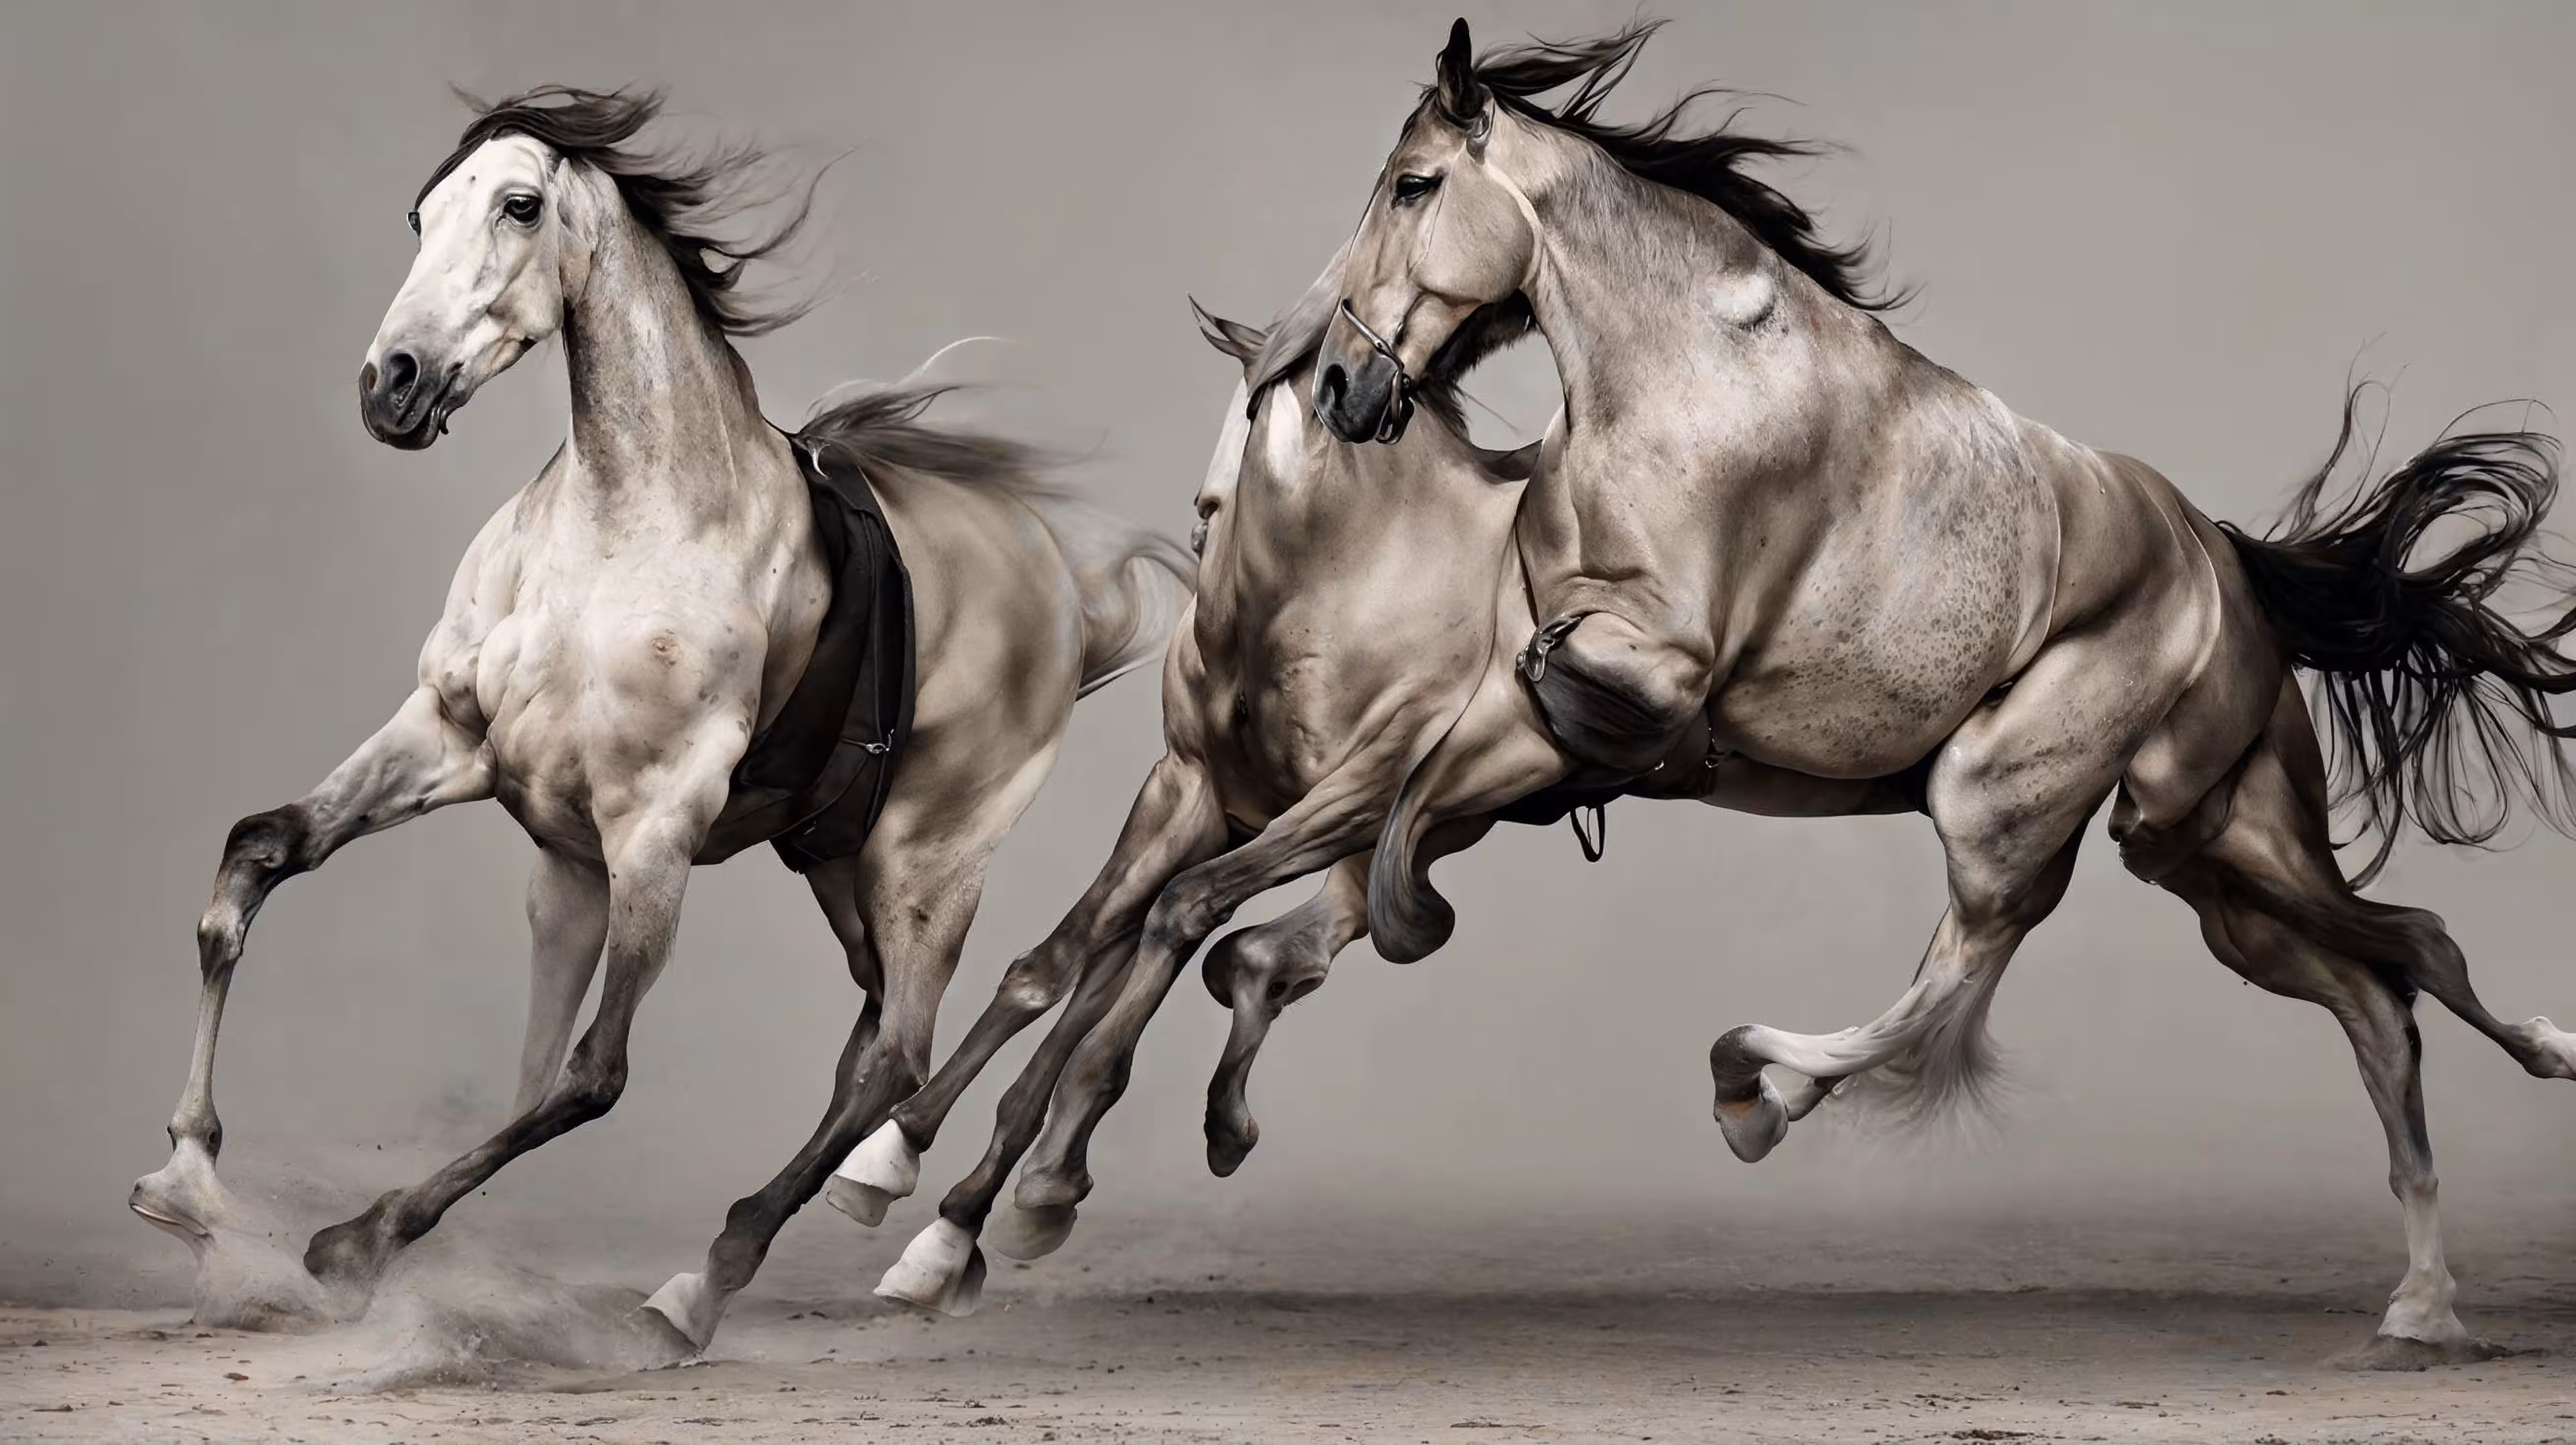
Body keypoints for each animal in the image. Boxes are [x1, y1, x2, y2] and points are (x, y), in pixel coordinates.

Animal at [124, 86, 1192, 1354]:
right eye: (421, 215)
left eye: (519, 204)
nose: (393, 381)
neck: (624, 534)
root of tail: (1061, 588)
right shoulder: (450, 736)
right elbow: (260, 854)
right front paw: (188, 1180)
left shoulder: (651, 831)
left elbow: (588, 1074)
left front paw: (358, 1240)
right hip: (836, 863)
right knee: (872, 1041)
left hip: (926, 863)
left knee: (896, 1053)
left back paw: (727, 1275)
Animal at [1246, 18, 2575, 1363]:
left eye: (1412, 186)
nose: (1337, 387)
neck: (1681, 385)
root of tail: (2219, 555)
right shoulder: (1517, 684)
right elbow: (1394, 796)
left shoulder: (1637, 664)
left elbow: (1438, 799)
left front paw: (1367, 924)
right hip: (2208, 851)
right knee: (2382, 978)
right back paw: (2426, 1292)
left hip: (2009, 797)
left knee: (1982, 969)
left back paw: (1755, 1084)